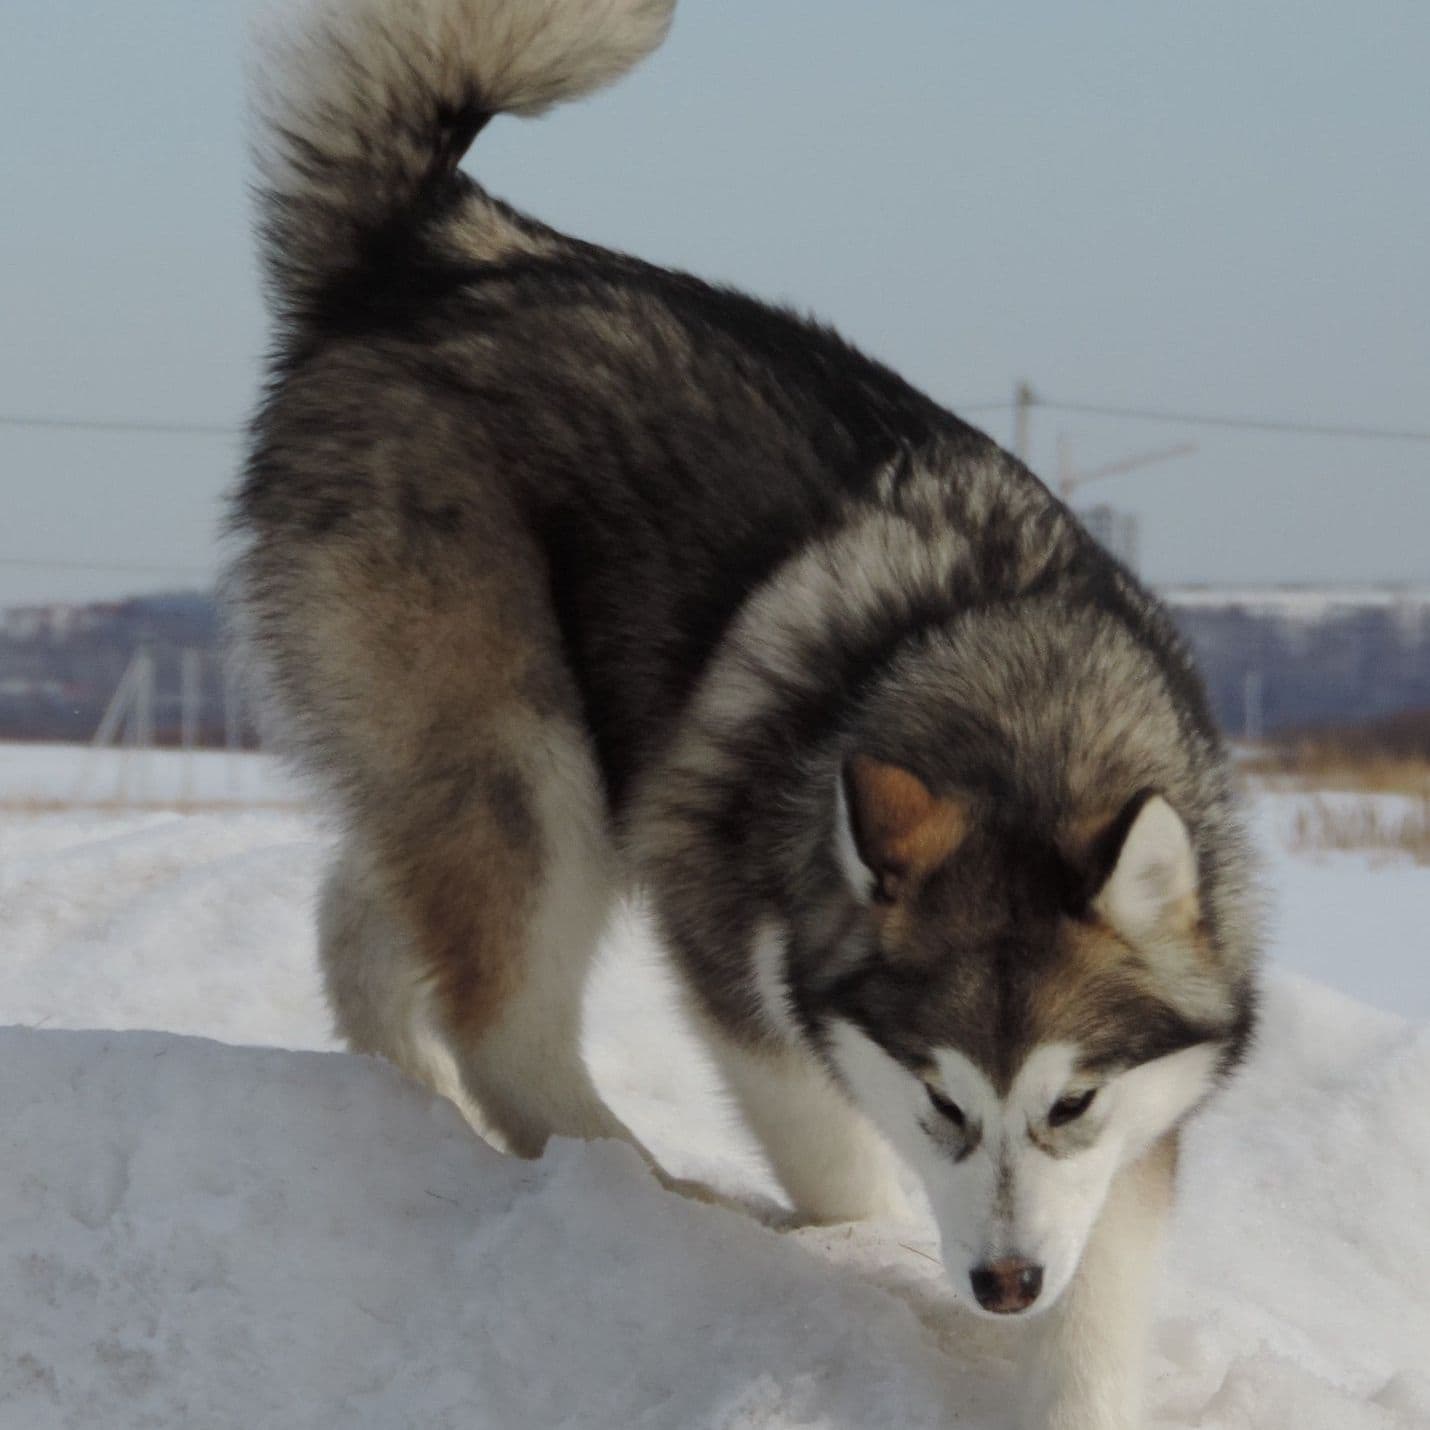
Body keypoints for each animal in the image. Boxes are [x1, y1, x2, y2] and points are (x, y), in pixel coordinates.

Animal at [228, 5, 1258, 1424]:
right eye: (938, 1100)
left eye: (1073, 1102)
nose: (999, 1283)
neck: (1018, 720)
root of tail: (436, 247)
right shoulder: (726, 940)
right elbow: (829, 1149)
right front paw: (856, 1241)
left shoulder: (1140, 1126)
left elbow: (1097, 1294)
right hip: (537, 774)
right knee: (505, 1025)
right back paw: (650, 1192)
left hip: (467, 766)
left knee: (365, 921)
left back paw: (408, 1099)